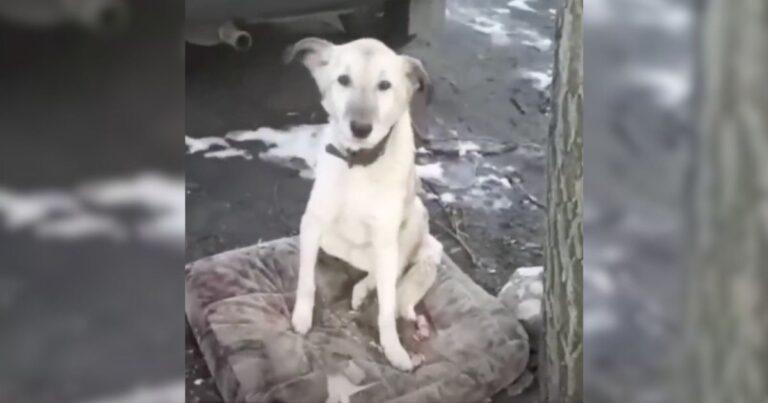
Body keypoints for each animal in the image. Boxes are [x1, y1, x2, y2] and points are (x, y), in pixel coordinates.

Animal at [284, 38, 444, 372]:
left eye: (384, 85)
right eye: (343, 80)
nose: (360, 128)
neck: (358, 164)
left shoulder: (385, 239)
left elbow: (386, 307)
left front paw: (393, 349)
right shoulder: (312, 222)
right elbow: (306, 281)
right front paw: (301, 318)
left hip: (415, 219)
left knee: (390, 277)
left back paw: (362, 290)